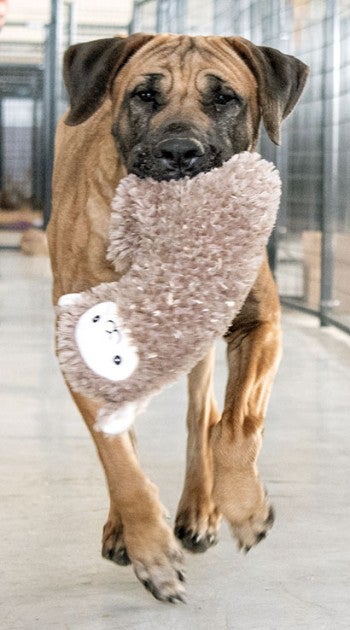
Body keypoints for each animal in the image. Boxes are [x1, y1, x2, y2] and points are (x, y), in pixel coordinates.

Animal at [47, 33, 308, 604]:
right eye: (145, 95)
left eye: (224, 98)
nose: (180, 152)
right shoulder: (82, 353)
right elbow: (120, 461)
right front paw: (150, 548)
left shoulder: (258, 326)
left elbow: (234, 425)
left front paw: (244, 507)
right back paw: (121, 529)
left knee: (201, 416)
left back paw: (201, 509)